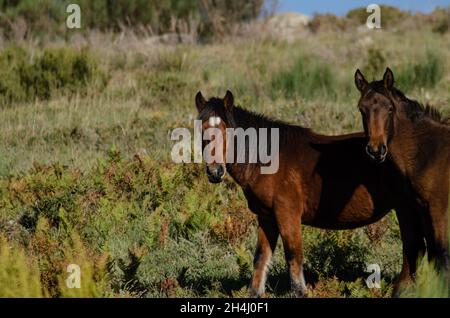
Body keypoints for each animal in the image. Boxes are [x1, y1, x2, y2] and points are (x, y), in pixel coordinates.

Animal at [195, 90, 424, 298]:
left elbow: (293, 256)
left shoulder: (287, 215)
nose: (215, 172)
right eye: (202, 129)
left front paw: (300, 292)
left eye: (226, 129)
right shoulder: (267, 217)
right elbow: (261, 258)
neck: (269, 159)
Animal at [354, 67, 448, 286]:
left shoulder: (438, 210)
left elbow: (441, 254)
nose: (376, 150)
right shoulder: (422, 209)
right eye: (362, 109)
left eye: (390, 108)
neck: (429, 153)